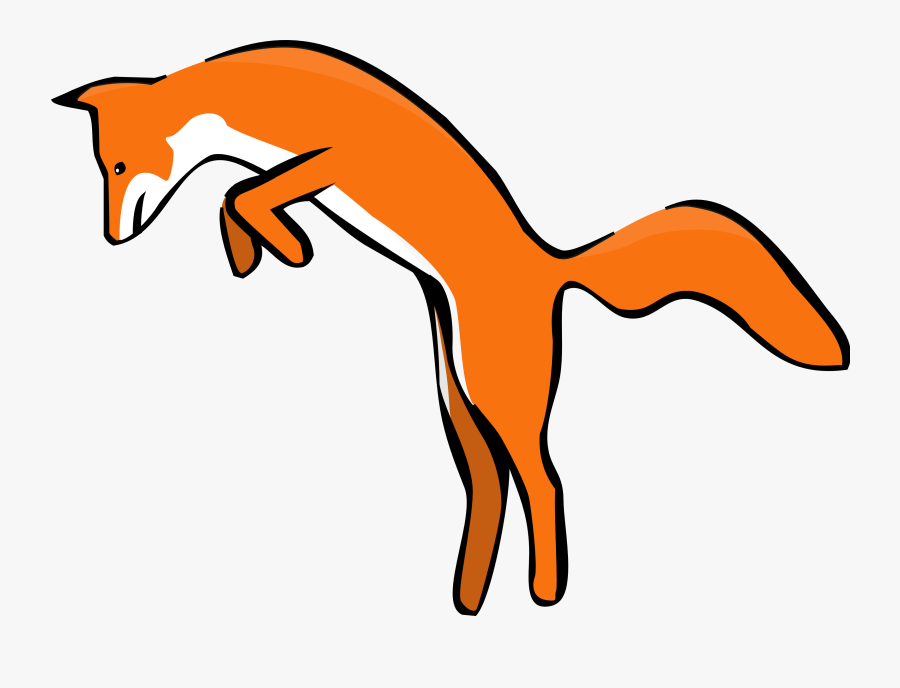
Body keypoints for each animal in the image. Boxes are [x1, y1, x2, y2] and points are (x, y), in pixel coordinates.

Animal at [53, 40, 849, 616]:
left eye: (117, 167)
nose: (112, 236)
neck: (249, 95)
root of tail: (551, 263)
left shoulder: (336, 158)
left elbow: (244, 192)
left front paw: (284, 245)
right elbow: (235, 195)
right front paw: (255, 252)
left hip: (498, 391)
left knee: (544, 482)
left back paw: (544, 592)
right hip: (456, 395)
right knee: (490, 488)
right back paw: (468, 596)